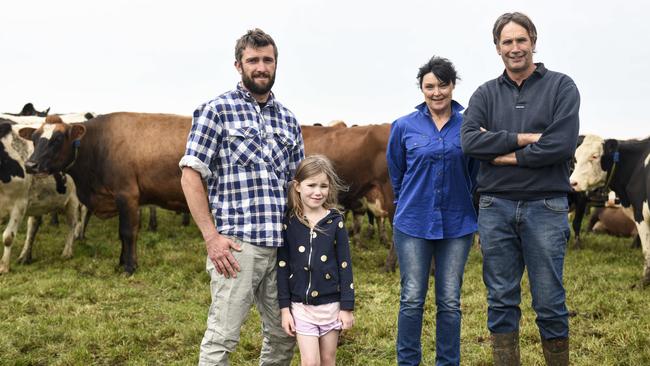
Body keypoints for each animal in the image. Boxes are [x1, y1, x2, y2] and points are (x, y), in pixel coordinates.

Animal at [0, 121, 84, 274]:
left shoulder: (19, 204)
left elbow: (8, 237)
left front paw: (3, 267)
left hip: (73, 200)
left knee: (72, 223)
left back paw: (67, 251)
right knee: (33, 225)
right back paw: (25, 256)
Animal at [18, 113, 190, 274]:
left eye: (58, 139)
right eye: (34, 139)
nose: (30, 165)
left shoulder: (127, 195)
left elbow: (128, 232)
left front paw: (129, 267)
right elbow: (121, 233)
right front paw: (121, 263)